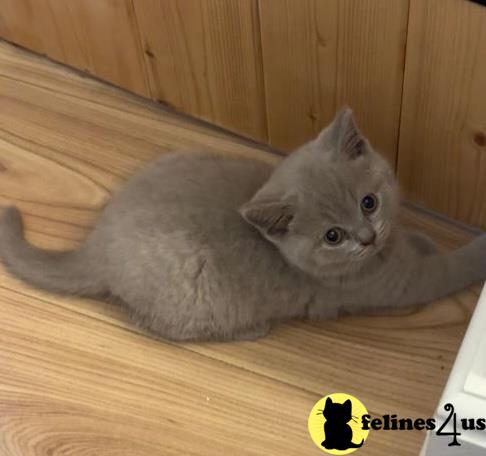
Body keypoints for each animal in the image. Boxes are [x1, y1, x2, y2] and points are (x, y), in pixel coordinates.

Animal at [0, 108, 486, 340]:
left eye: (369, 202)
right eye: (332, 237)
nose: (367, 238)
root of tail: (95, 246)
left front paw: (420, 239)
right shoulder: (395, 286)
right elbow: (448, 269)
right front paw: (475, 248)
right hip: (193, 296)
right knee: (154, 325)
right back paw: (250, 330)